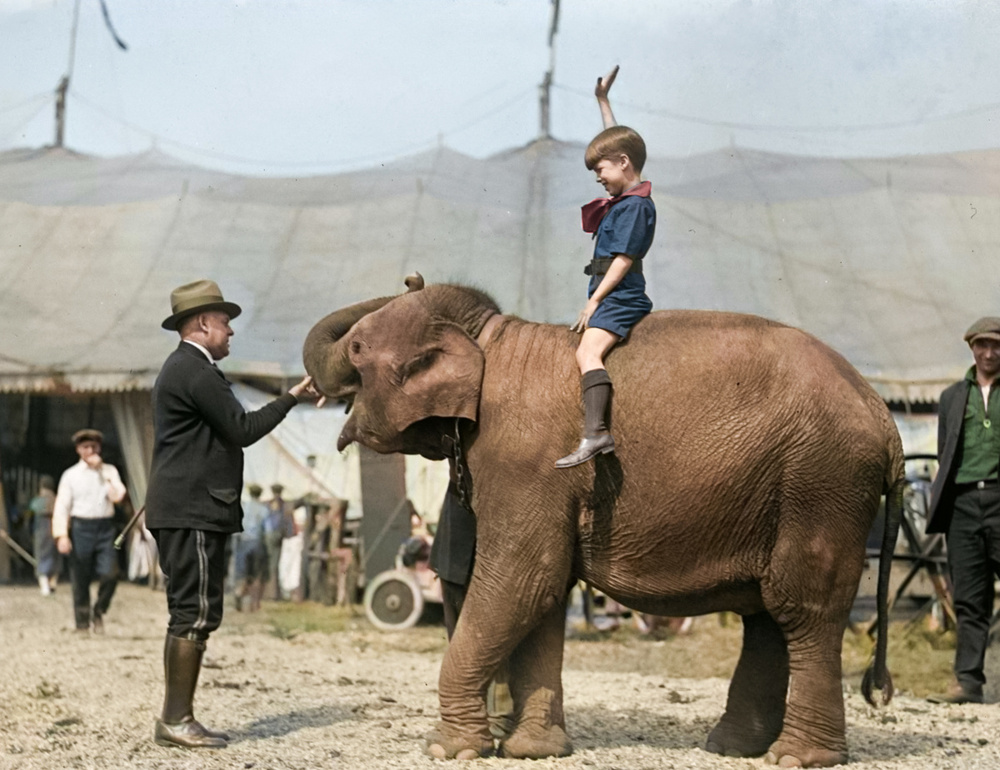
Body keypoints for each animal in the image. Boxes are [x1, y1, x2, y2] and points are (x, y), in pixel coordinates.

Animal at [300, 272, 904, 764]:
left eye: (357, 347)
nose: (412, 277)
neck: (487, 336)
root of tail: (883, 416)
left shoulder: (525, 464)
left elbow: (523, 579)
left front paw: (450, 750)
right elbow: (542, 594)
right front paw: (533, 750)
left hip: (821, 483)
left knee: (802, 607)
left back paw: (796, 757)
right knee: (765, 615)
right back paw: (734, 747)